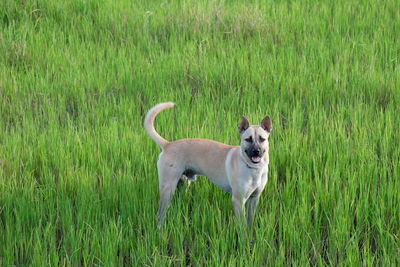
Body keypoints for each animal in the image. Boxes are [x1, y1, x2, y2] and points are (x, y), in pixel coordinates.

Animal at [145, 102, 274, 226]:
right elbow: (242, 227)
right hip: (168, 188)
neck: (253, 168)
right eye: (248, 139)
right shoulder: (238, 200)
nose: (256, 151)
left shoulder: (254, 199)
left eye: (262, 139)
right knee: (160, 214)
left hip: (183, 184)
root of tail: (168, 144)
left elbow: (250, 221)